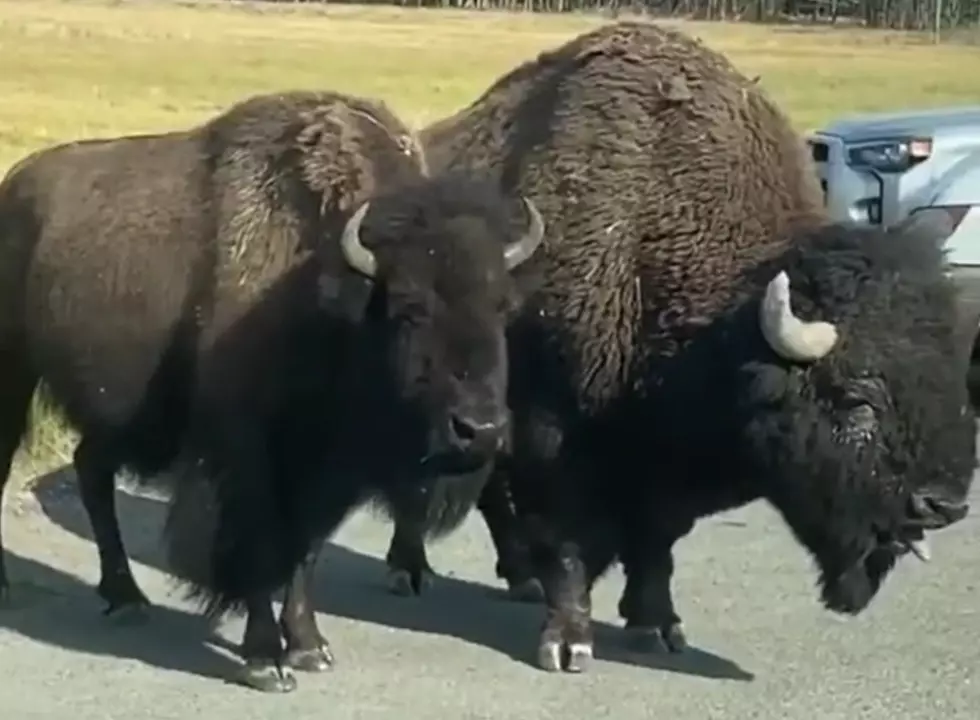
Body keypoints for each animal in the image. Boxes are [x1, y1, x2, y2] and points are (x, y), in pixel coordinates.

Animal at [0, 88, 544, 692]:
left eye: (504, 306)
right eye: (409, 307)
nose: (481, 430)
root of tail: (14, 184)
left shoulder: (325, 471)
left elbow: (304, 551)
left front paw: (309, 646)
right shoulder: (248, 457)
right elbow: (257, 547)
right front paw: (266, 659)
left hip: (126, 417)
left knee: (91, 468)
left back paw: (126, 599)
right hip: (15, 374)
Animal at [378, 21, 976, 676]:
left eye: (951, 374)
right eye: (856, 397)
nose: (943, 505)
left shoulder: (663, 472)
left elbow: (656, 543)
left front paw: (657, 624)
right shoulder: (554, 437)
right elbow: (567, 540)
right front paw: (568, 642)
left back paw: (517, 579)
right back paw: (410, 572)